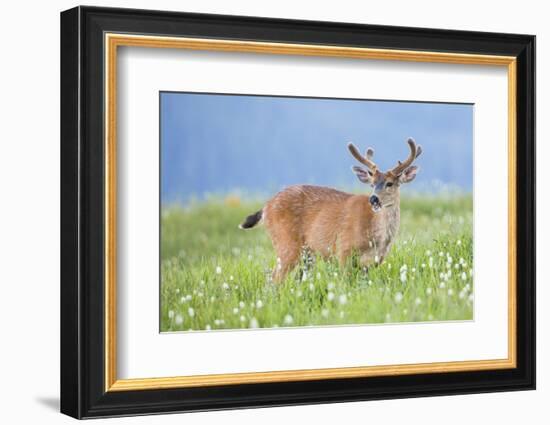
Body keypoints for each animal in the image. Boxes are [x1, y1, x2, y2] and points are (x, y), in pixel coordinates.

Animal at [239, 137, 424, 282]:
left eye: (390, 183)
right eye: (372, 184)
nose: (373, 199)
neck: (376, 238)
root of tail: (266, 207)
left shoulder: (374, 262)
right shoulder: (343, 250)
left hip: (307, 254)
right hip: (286, 243)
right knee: (274, 280)